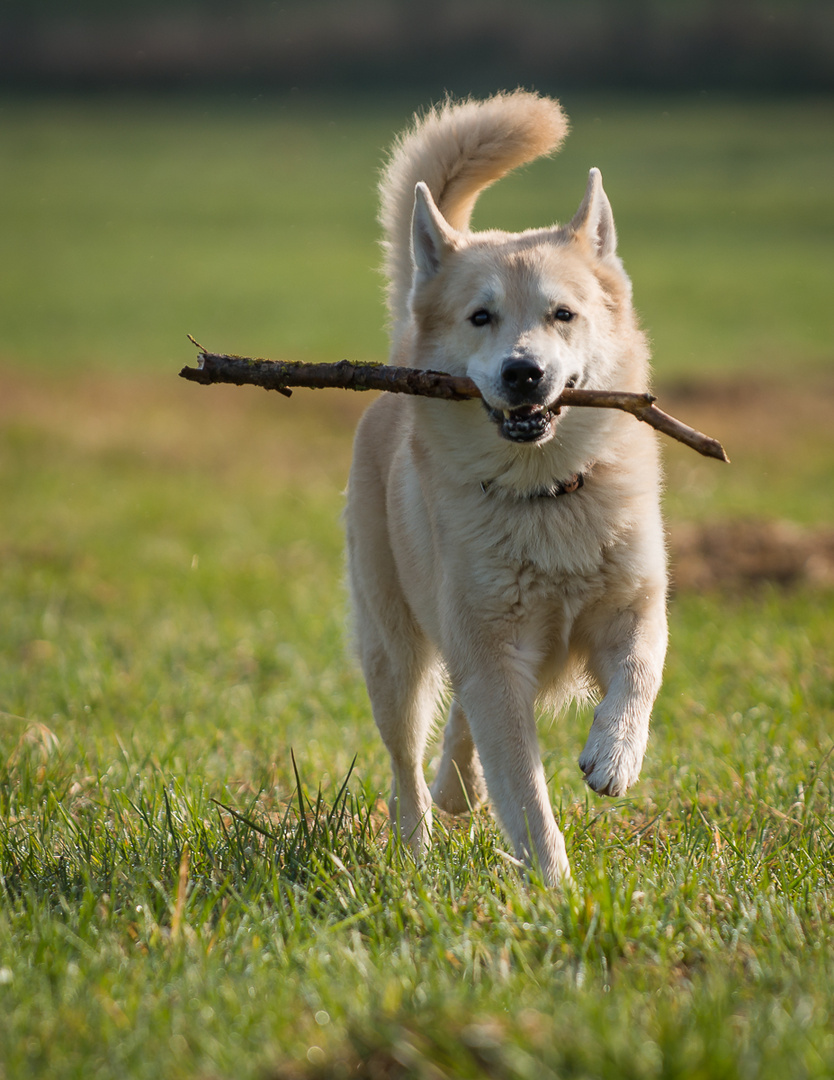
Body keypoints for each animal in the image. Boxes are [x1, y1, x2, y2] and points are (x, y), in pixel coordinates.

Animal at [343, 92, 665, 885]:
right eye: (481, 316)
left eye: (563, 313)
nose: (524, 373)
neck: (545, 496)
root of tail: (401, 347)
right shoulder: (492, 655)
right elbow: (527, 793)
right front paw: (555, 891)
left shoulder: (634, 605)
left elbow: (641, 670)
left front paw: (614, 756)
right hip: (394, 652)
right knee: (406, 761)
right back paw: (417, 852)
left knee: (458, 730)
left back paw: (459, 790)